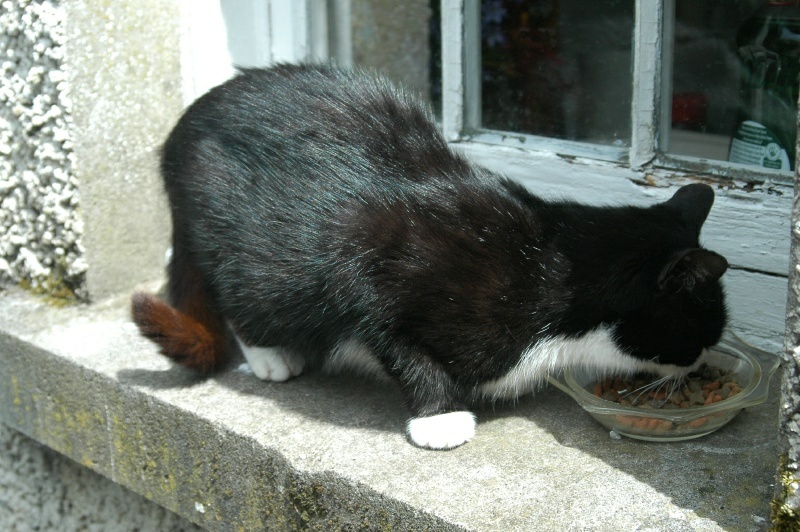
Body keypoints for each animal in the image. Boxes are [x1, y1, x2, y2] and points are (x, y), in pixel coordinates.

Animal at [133, 64, 732, 450]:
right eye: (704, 329)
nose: (702, 365)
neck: (550, 260)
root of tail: (181, 130)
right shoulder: (371, 261)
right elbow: (401, 345)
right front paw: (439, 419)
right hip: (252, 247)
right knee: (236, 284)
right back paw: (270, 353)